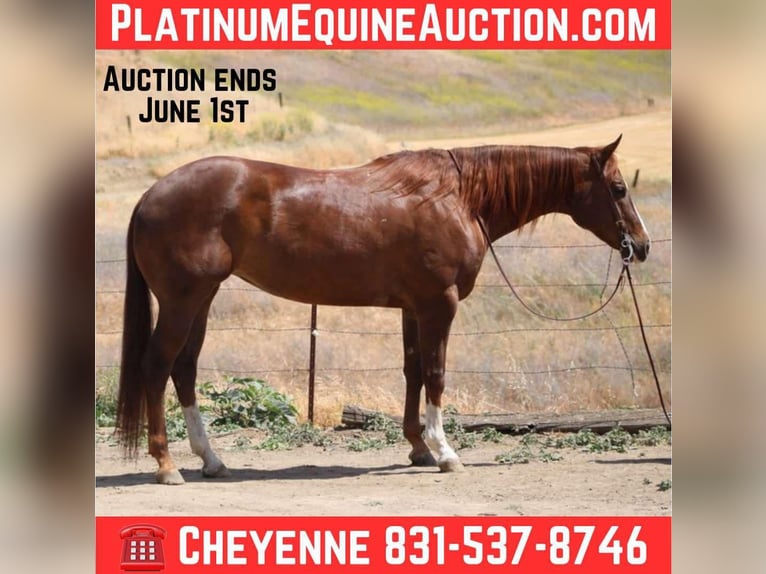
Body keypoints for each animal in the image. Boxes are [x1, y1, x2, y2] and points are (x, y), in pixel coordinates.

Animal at [116, 135, 650, 484]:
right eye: (619, 188)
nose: (641, 246)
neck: (459, 198)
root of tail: (148, 196)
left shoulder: (414, 307)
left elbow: (413, 371)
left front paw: (418, 447)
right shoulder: (439, 304)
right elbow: (435, 373)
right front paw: (445, 452)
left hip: (202, 298)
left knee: (184, 369)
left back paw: (210, 460)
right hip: (183, 300)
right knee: (157, 366)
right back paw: (166, 466)